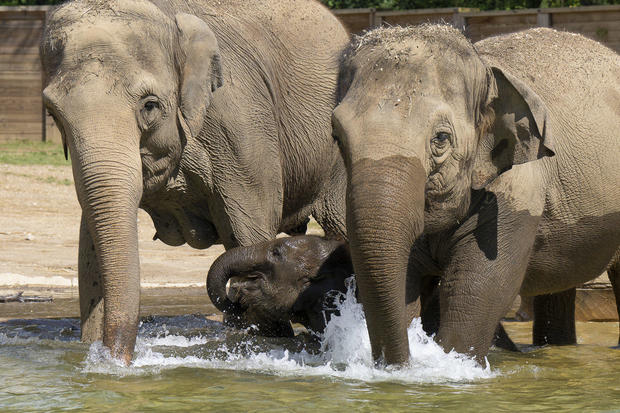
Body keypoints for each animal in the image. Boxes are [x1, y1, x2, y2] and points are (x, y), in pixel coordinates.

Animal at [334, 25, 620, 366]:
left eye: (441, 138)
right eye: (337, 137)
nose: (401, 364)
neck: (484, 67)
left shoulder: (517, 186)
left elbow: (478, 287)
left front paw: (452, 363)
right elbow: (407, 282)